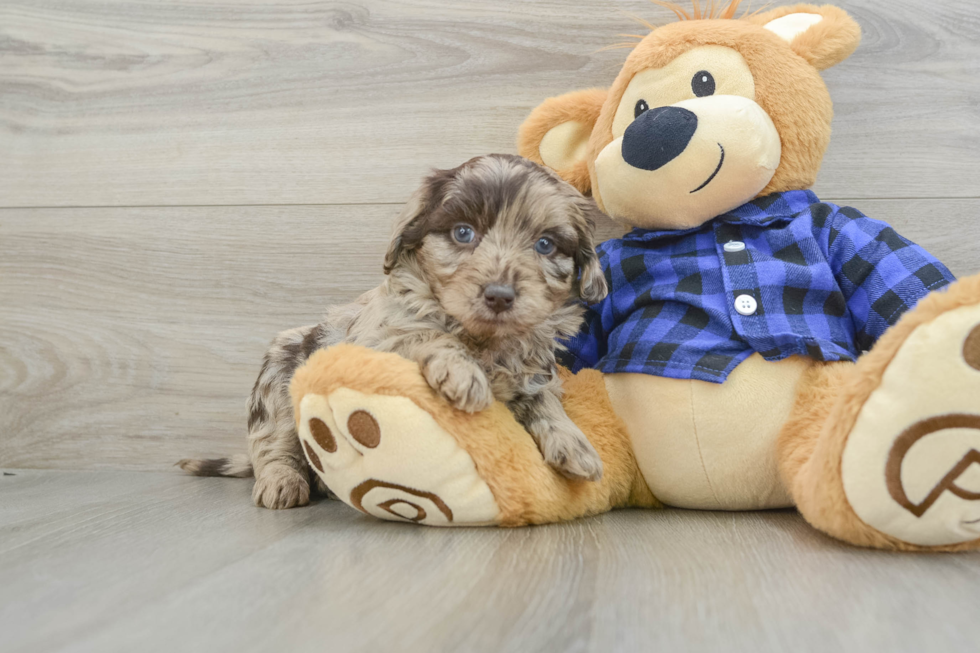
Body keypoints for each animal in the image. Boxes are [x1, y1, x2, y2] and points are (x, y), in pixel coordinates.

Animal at [176, 154, 604, 510]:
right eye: (463, 233)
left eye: (545, 244)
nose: (499, 295)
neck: (483, 340)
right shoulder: (379, 339)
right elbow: (424, 332)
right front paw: (463, 372)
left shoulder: (533, 369)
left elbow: (544, 398)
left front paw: (574, 442)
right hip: (279, 374)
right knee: (272, 442)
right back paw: (281, 481)